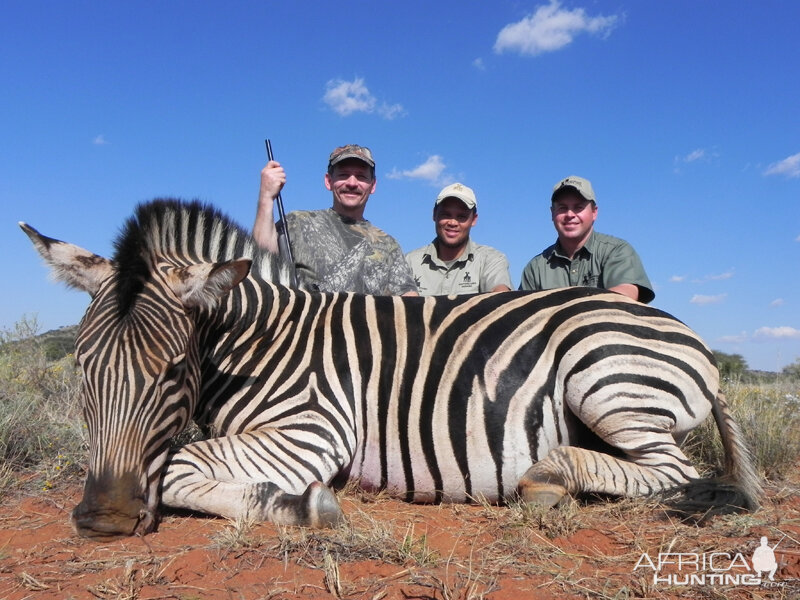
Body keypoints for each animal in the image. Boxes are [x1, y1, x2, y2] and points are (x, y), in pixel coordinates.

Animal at [21, 200, 764, 540]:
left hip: (601, 376)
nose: (103, 519)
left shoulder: (312, 430)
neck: (260, 340)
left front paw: (304, 504)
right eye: (81, 366)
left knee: (677, 473)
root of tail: (695, 342)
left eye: (174, 368)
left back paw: (551, 478)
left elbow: (177, 466)